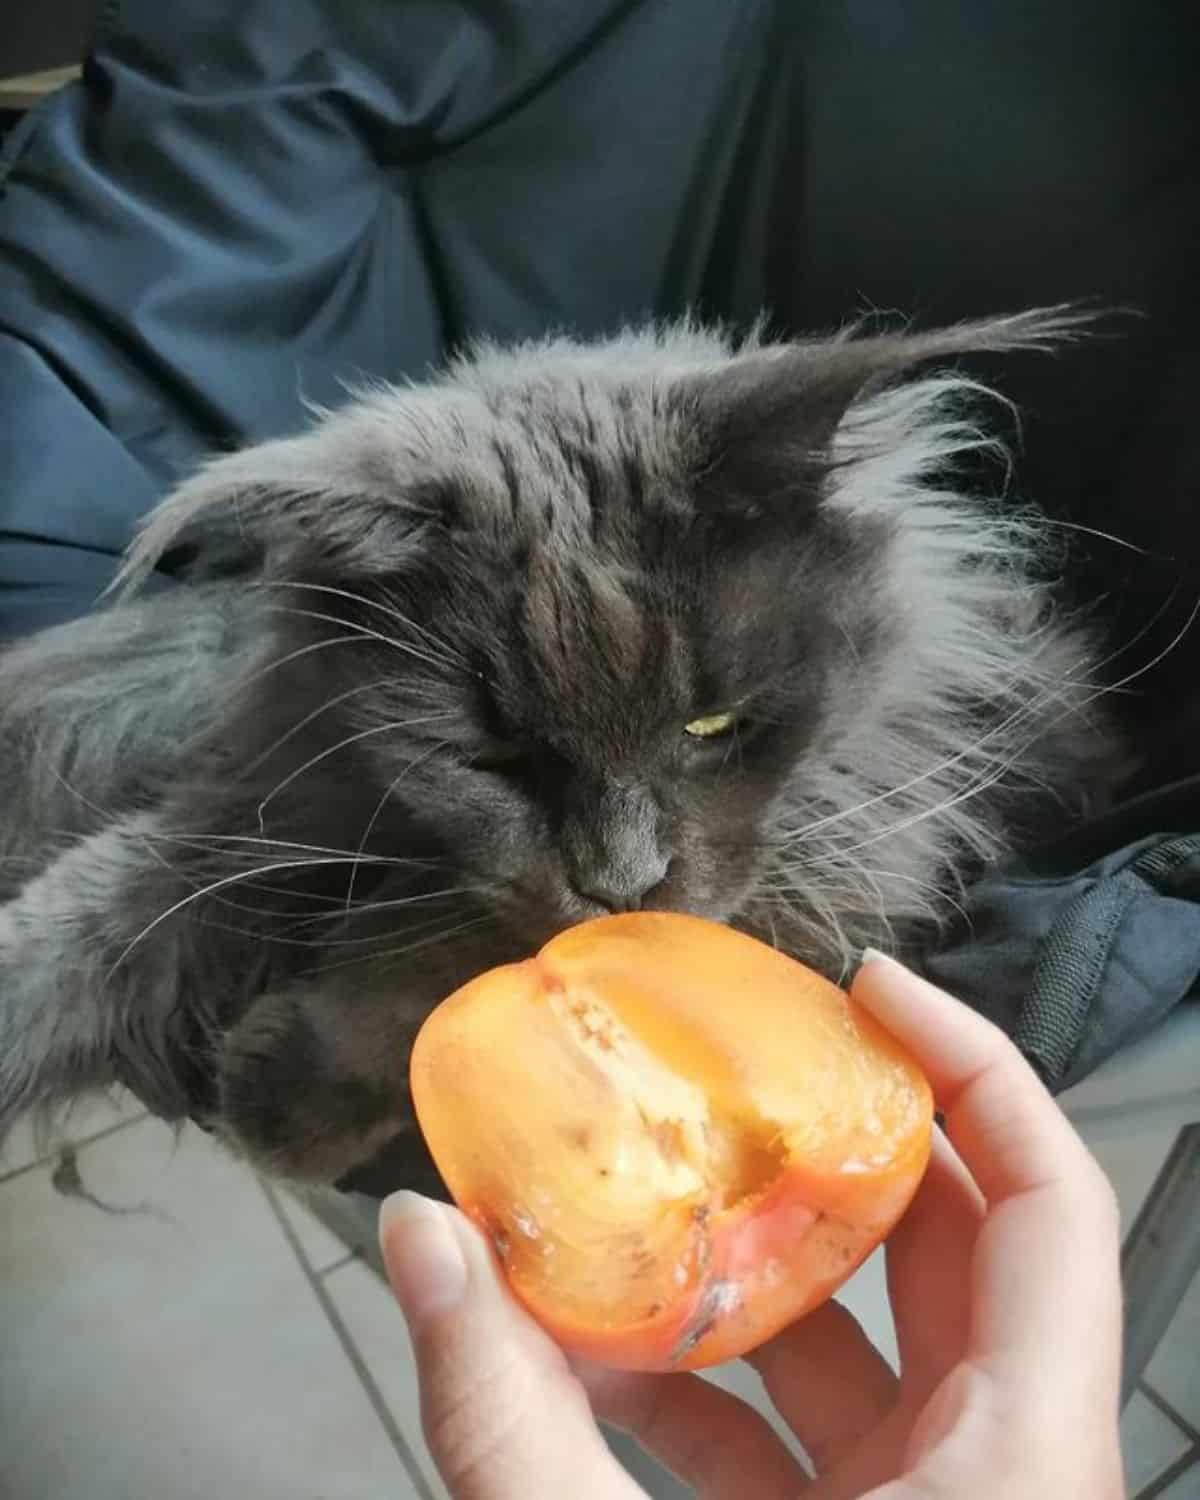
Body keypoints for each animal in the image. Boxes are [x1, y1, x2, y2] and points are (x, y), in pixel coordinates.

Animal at [0, 310, 1122, 1188]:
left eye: (712, 727)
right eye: (494, 761)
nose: (621, 881)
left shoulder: (853, 843)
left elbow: (477, 957)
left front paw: (286, 1087)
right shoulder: (258, 803)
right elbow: (80, 927)